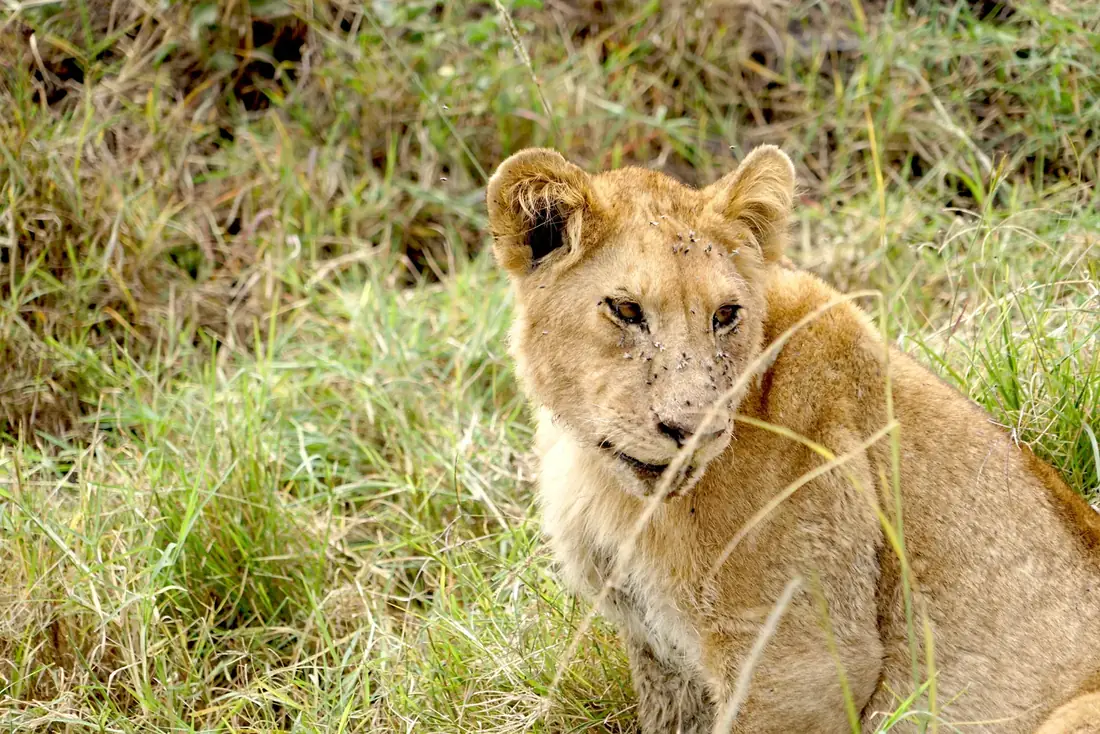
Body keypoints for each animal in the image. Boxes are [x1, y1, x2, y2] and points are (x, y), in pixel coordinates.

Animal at [486, 146, 1100, 733]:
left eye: (725, 314)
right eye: (626, 309)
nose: (695, 430)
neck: (605, 480)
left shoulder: (802, 658)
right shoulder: (658, 649)